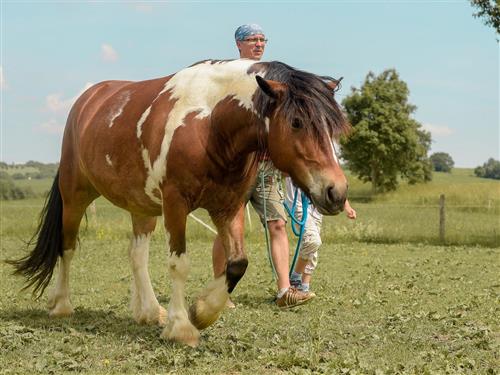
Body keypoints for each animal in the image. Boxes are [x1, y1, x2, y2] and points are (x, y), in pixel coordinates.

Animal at [8, 58, 352, 346]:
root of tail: (88, 101)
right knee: (67, 248)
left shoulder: (229, 207)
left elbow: (237, 263)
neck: (210, 123)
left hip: (142, 206)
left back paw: (149, 311)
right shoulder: (175, 204)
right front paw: (181, 326)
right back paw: (62, 305)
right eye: (296, 122)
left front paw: (202, 311)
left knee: (137, 255)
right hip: (75, 195)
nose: (336, 191)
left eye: (334, 126)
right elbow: (179, 264)